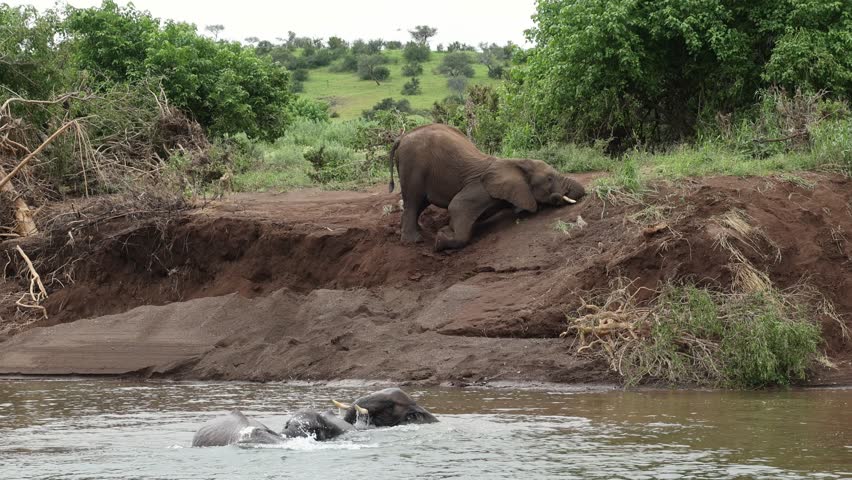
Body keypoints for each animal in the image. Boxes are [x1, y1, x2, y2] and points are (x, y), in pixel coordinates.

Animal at [388, 123, 585, 251]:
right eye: (550, 179)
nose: (558, 197)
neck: (516, 163)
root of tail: (402, 138)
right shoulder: (480, 189)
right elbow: (457, 206)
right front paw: (440, 239)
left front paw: (445, 231)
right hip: (412, 167)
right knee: (413, 201)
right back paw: (413, 241)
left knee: (418, 204)